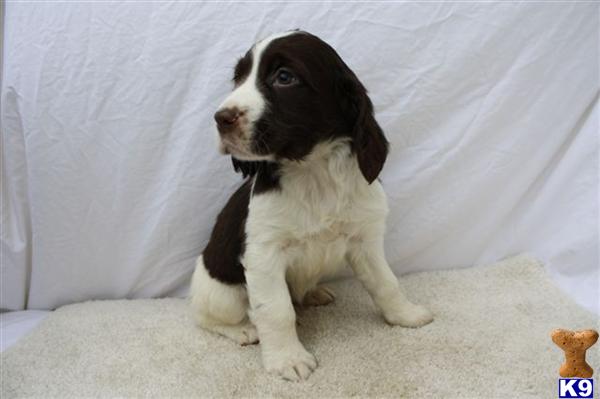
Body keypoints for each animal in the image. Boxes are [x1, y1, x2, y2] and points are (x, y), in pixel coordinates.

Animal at [190, 30, 434, 382]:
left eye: (284, 77)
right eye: (238, 78)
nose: (221, 118)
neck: (313, 172)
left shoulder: (365, 241)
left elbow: (386, 282)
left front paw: (405, 315)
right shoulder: (264, 254)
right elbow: (276, 310)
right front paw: (287, 359)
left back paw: (314, 293)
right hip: (221, 294)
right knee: (207, 317)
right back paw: (243, 330)